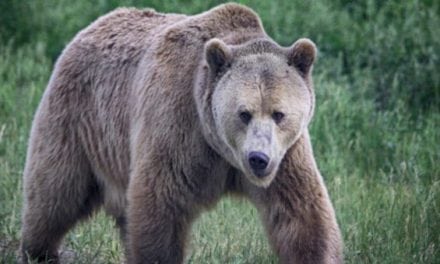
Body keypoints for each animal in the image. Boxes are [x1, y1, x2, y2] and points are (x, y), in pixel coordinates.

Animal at [19, 2, 344, 264]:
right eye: (244, 113)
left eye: (279, 114)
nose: (258, 158)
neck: (221, 148)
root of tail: (95, 24)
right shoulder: (178, 125)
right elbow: (160, 205)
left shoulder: (286, 155)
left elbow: (301, 212)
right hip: (79, 118)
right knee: (56, 189)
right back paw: (39, 251)